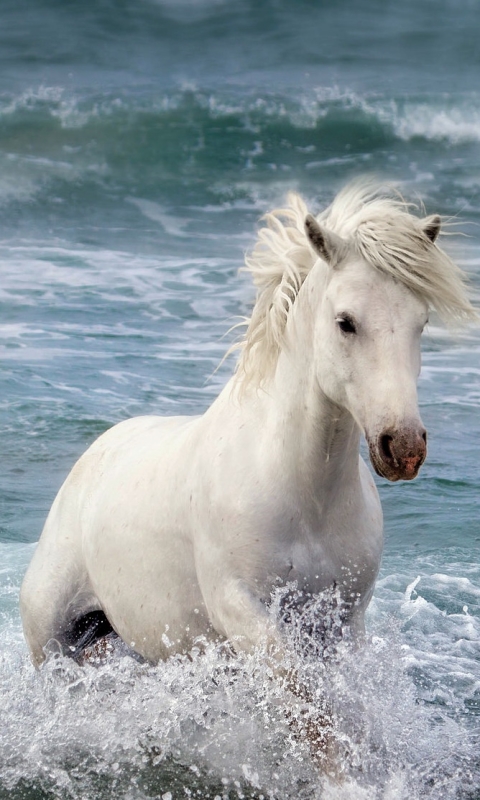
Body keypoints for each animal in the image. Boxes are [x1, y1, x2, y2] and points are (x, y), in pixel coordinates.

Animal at [19, 180, 476, 668]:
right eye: (346, 322)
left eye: (421, 323)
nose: (404, 447)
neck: (303, 494)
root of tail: (93, 455)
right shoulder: (238, 607)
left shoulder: (344, 621)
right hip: (51, 640)